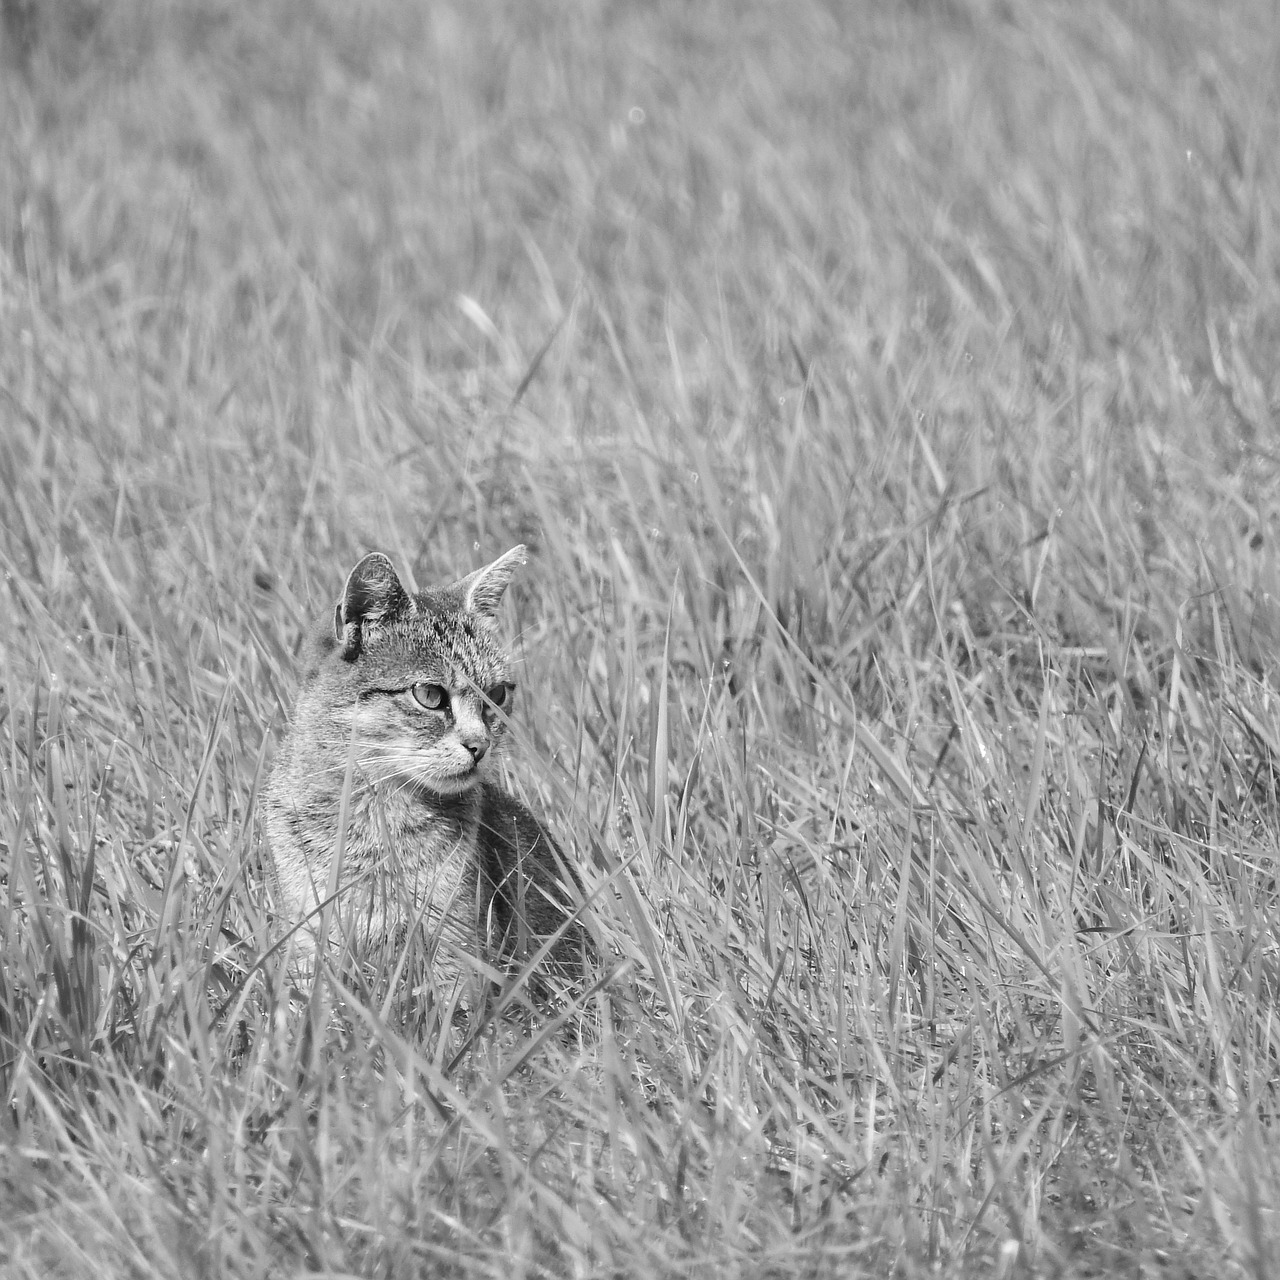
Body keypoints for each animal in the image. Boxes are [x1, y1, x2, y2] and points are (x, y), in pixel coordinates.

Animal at [264, 545, 586, 1003]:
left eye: (497, 694)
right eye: (431, 695)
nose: (480, 746)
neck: (375, 818)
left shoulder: (458, 951)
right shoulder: (308, 944)